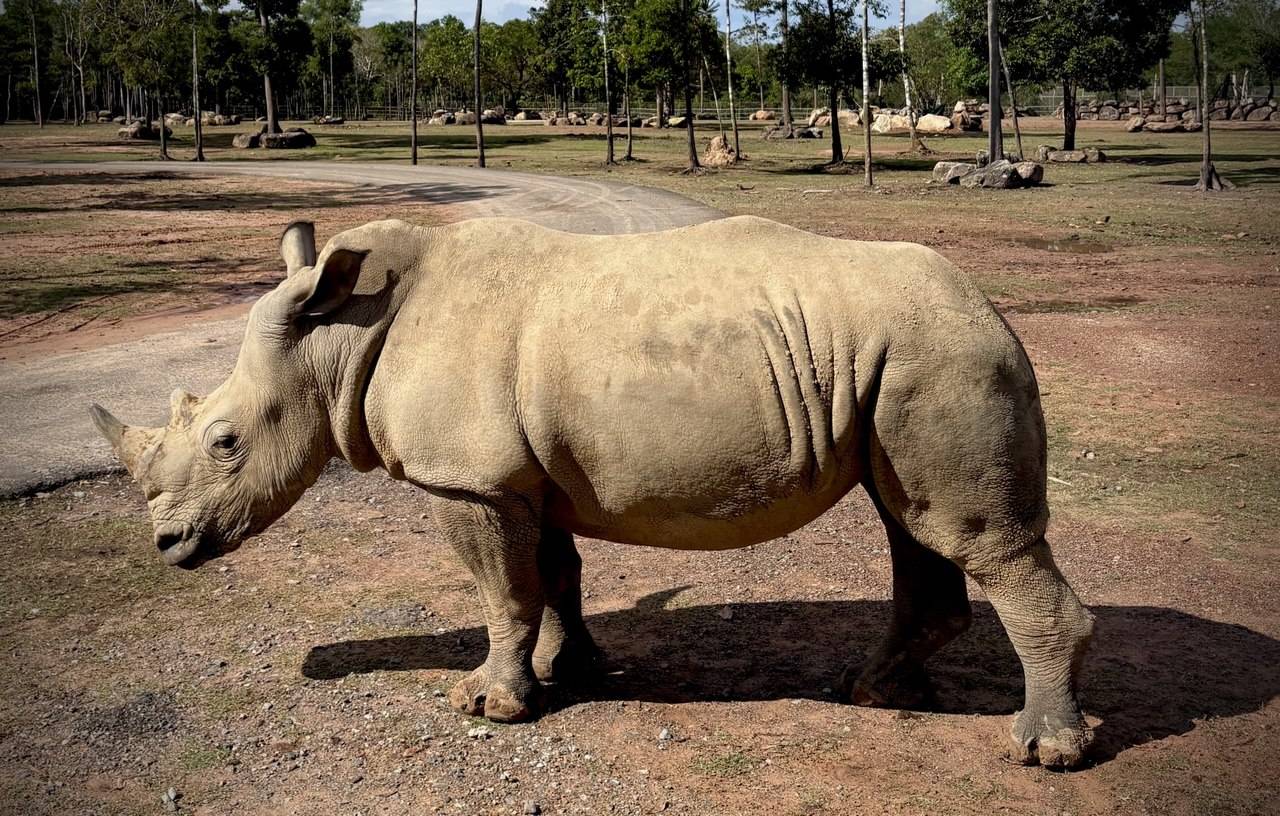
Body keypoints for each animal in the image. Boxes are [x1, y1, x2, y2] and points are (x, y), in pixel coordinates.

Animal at [91, 216, 1094, 767]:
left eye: (225, 443)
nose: (167, 547)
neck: (339, 339)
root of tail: (994, 307)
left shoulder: (471, 480)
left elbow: (502, 590)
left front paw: (488, 705)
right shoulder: (516, 474)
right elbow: (553, 576)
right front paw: (570, 669)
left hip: (945, 357)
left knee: (971, 537)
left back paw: (1043, 752)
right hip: (908, 362)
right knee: (912, 522)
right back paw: (872, 691)